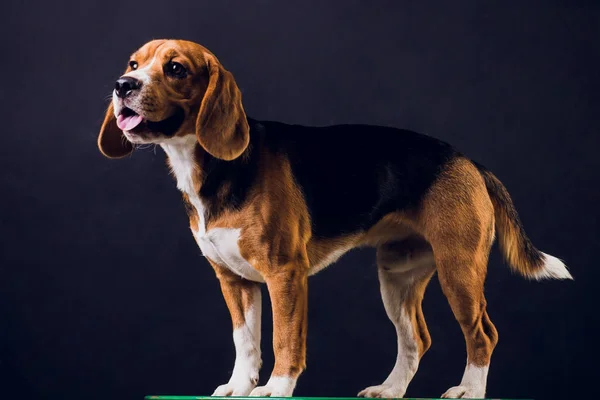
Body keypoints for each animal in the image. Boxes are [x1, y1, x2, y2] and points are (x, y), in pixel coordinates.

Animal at [97, 39, 572, 398]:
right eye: (134, 64)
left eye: (175, 68)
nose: (123, 85)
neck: (213, 169)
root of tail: (469, 160)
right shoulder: (234, 281)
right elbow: (245, 341)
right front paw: (239, 386)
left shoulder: (285, 274)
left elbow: (284, 338)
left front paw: (276, 388)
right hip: (397, 276)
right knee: (416, 339)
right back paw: (390, 389)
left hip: (459, 269)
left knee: (482, 334)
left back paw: (469, 390)